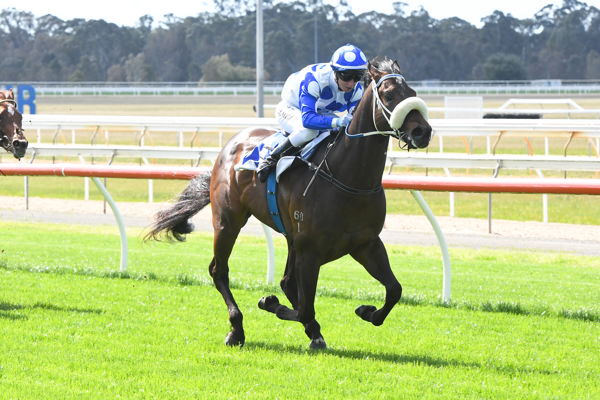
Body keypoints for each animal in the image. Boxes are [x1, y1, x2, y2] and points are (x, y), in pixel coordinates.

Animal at [148, 55, 434, 346]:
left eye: (412, 92)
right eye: (389, 95)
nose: (422, 131)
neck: (349, 178)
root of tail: (230, 145)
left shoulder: (366, 243)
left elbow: (394, 289)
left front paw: (367, 311)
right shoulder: (310, 251)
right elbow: (305, 307)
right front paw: (271, 304)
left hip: (290, 237)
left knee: (285, 281)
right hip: (228, 221)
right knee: (219, 271)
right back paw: (237, 329)